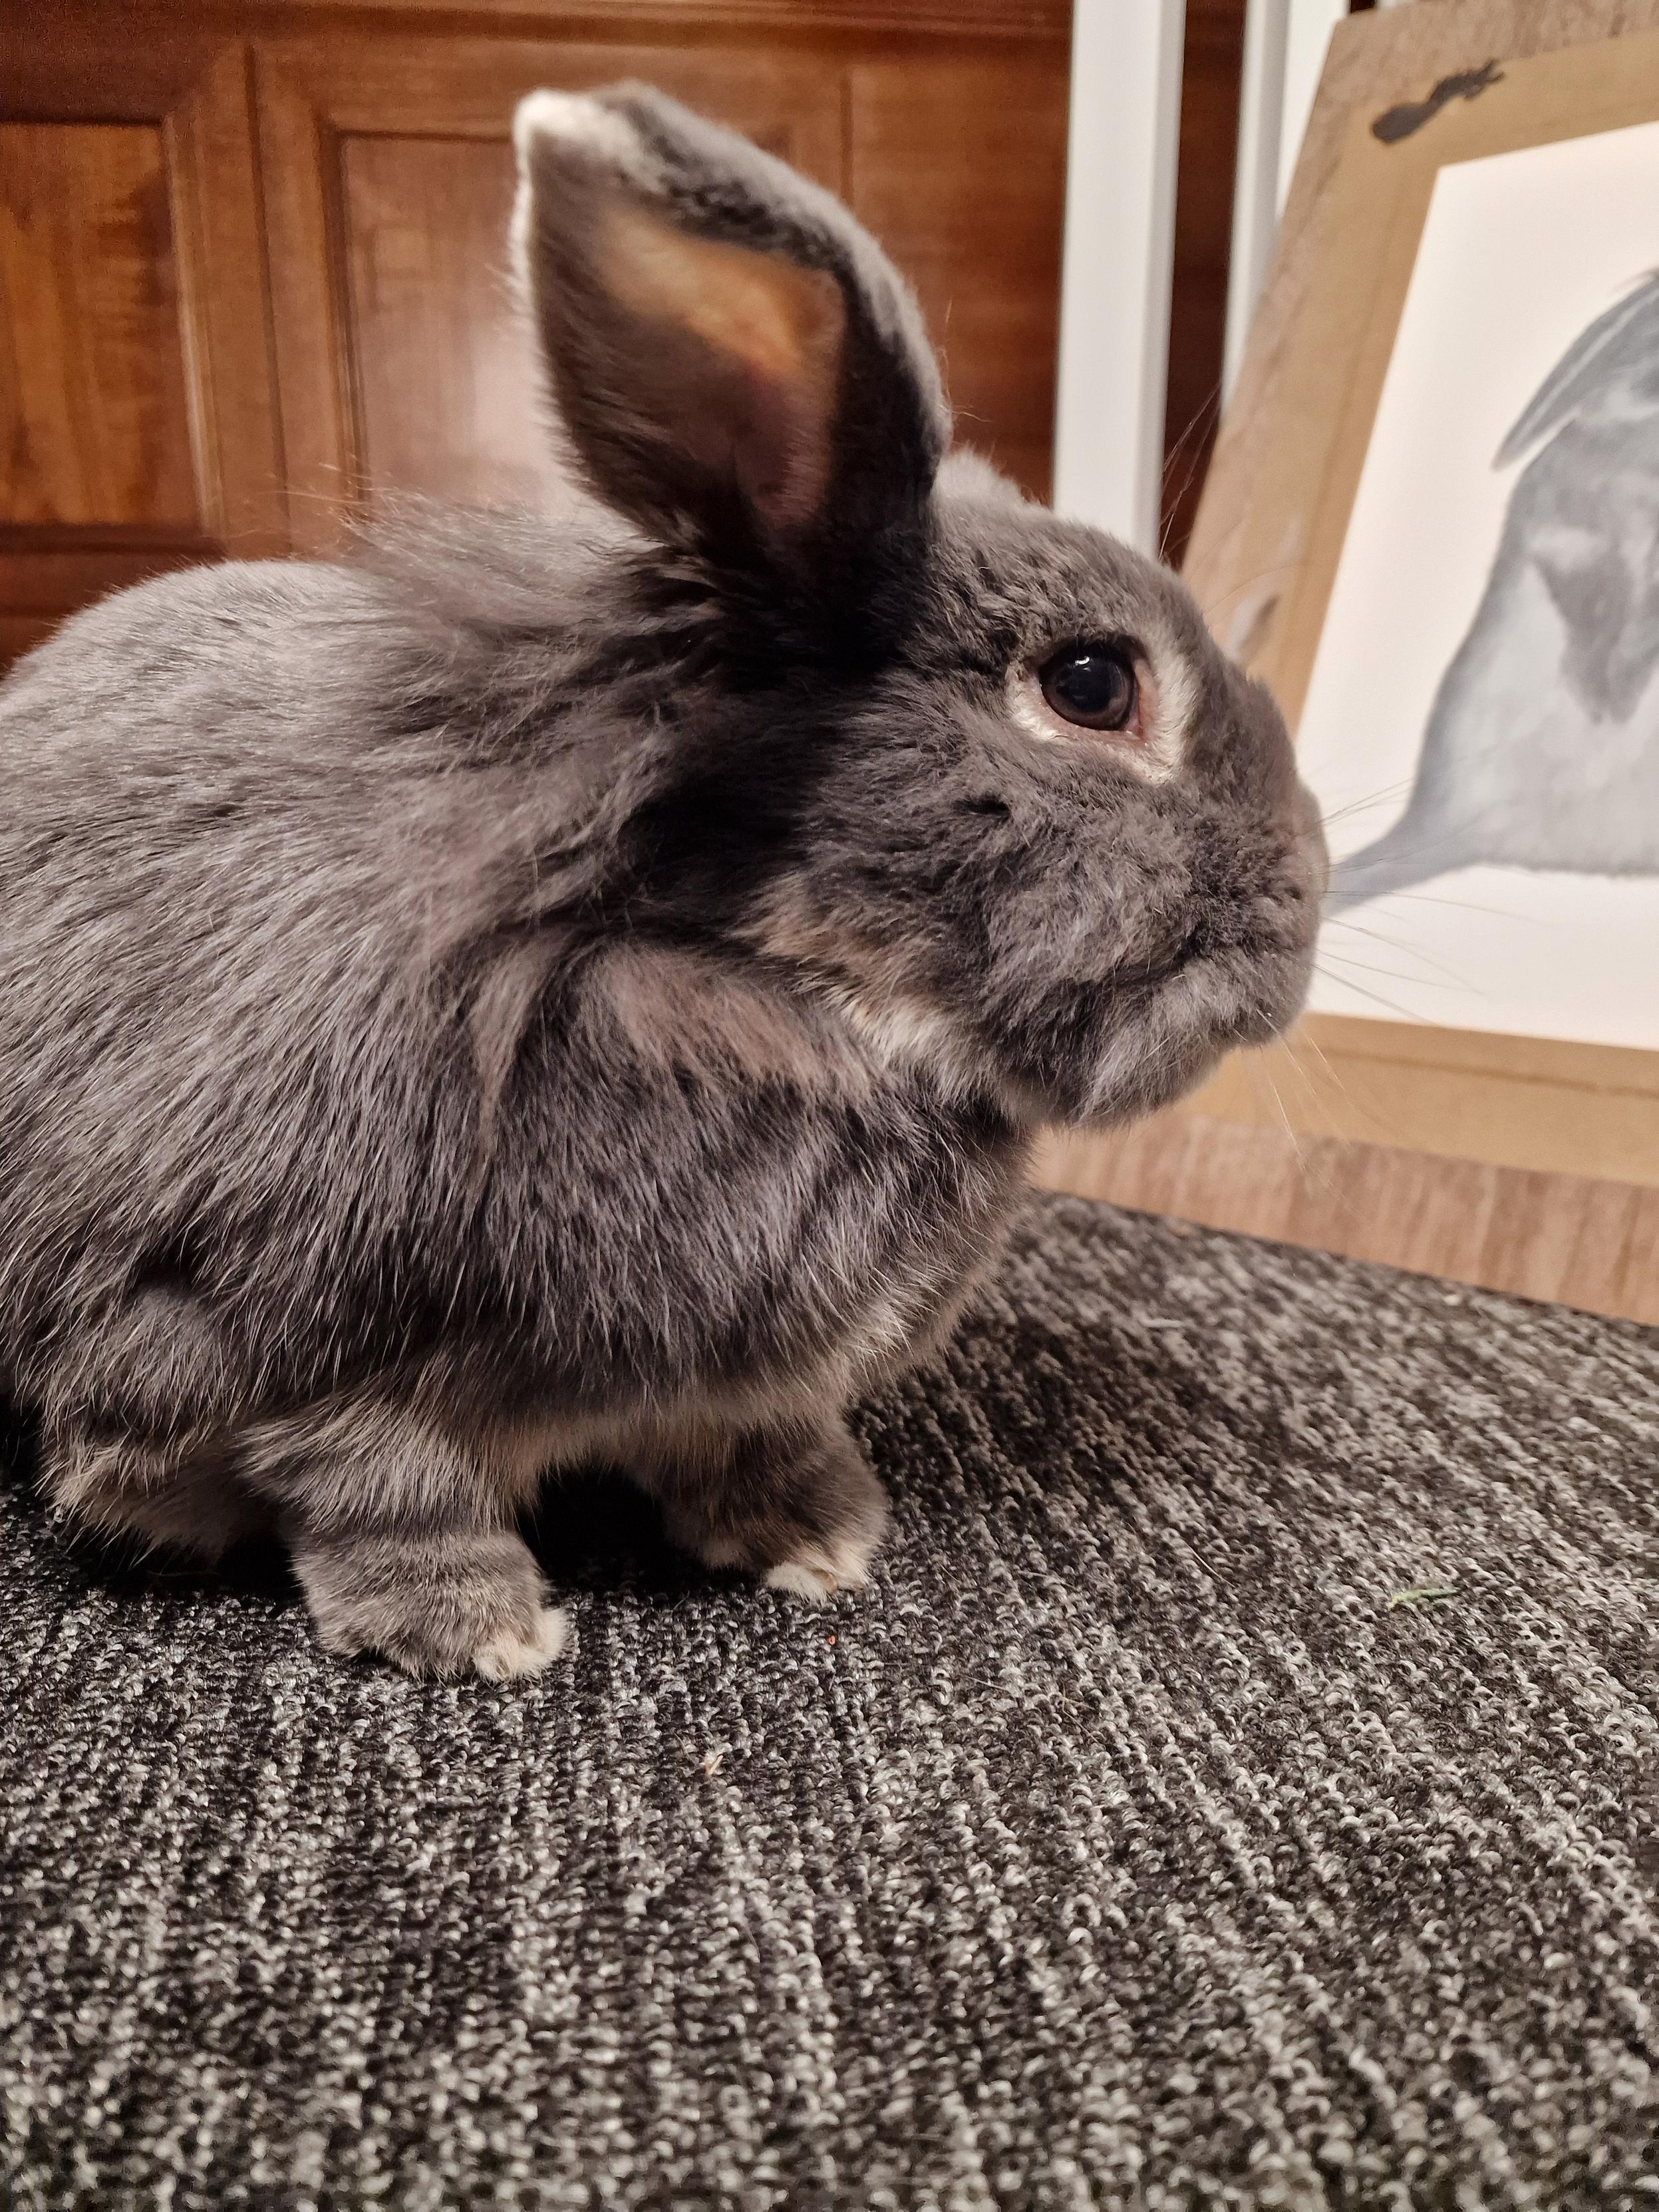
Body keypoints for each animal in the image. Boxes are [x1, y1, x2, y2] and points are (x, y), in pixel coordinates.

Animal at [0, 83, 1325, 1679]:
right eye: (1088, 685)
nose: (1304, 905)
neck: (762, 973)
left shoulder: (742, 1390)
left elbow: (749, 1448)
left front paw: (820, 1538)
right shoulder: (268, 1330)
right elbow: (371, 1485)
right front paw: (476, 1630)